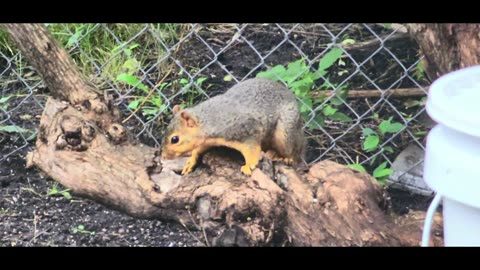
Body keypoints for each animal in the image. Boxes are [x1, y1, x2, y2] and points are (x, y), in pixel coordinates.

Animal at [160, 78, 304, 175]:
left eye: (175, 139)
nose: (164, 156)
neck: (208, 121)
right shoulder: (206, 140)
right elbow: (199, 149)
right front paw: (191, 161)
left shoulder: (247, 128)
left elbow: (252, 149)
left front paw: (249, 165)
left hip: (285, 132)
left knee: (294, 150)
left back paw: (286, 157)